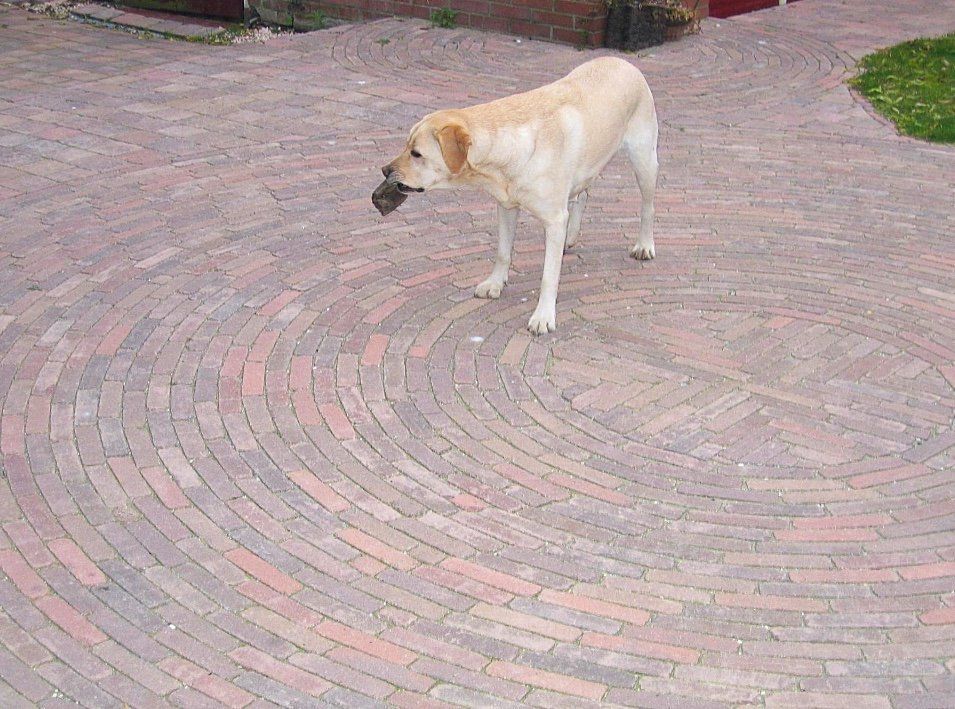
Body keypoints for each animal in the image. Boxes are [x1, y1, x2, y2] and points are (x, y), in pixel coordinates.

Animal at [379, 56, 658, 334]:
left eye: (416, 153)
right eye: (406, 146)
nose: (385, 170)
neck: (508, 152)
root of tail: (619, 59)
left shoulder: (554, 220)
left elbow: (548, 277)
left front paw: (543, 316)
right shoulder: (506, 206)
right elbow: (503, 252)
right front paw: (495, 283)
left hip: (644, 160)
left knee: (647, 206)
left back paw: (644, 245)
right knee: (582, 195)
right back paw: (570, 237)